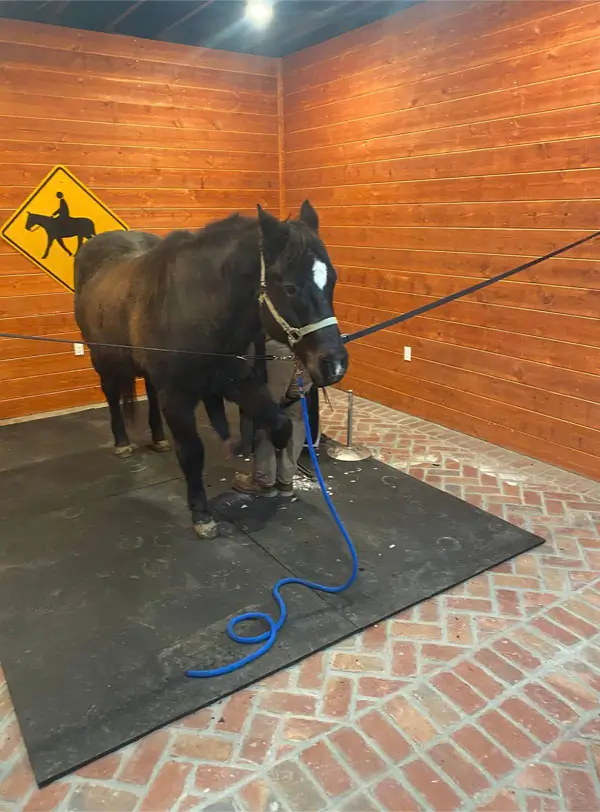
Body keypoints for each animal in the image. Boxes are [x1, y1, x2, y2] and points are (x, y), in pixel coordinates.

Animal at [73, 201, 349, 539]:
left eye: (332, 279)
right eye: (290, 288)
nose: (334, 363)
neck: (201, 311)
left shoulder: (240, 382)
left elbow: (281, 425)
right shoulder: (177, 397)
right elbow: (193, 453)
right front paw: (202, 514)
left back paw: (159, 438)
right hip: (102, 359)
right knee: (112, 397)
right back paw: (122, 442)